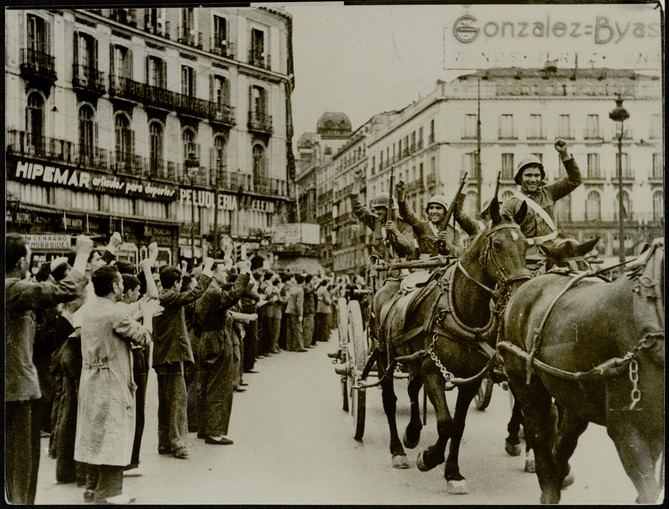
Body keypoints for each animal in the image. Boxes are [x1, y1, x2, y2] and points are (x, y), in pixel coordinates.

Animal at [368, 197, 528, 492]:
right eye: (498, 245)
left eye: (525, 244)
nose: (521, 290)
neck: (461, 311)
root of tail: (391, 280)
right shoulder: (434, 372)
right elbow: (445, 423)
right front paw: (430, 458)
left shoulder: (470, 379)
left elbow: (458, 424)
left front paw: (452, 472)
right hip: (385, 358)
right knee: (390, 401)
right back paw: (398, 450)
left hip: (413, 359)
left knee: (412, 388)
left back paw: (412, 433)